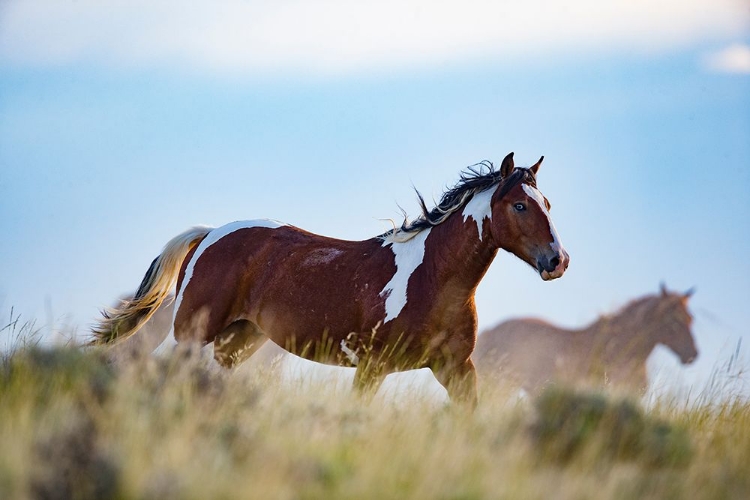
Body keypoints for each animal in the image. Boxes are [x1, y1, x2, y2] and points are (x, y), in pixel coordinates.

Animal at [95, 153, 576, 406]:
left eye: (548, 203)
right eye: (519, 205)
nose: (557, 261)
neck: (432, 279)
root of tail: (210, 234)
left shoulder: (456, 368)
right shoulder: (372, 367)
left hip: (238, 340)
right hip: (191, 332)